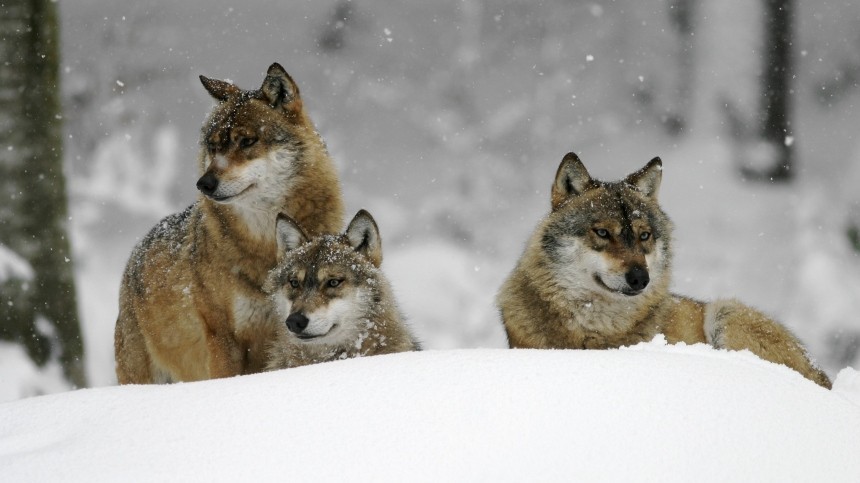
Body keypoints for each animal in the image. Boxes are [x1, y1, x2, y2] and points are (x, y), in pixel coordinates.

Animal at [114, 62, 346, 384]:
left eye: (247, 141)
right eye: (212, 147)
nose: (204, 183)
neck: (265, 243)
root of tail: (133, 257)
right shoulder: (223, 338)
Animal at [498, 152, 832, 390]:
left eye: (644, 236)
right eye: (603, 233)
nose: (640, 278)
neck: (595, 331)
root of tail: (825, 378)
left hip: (726, 312)